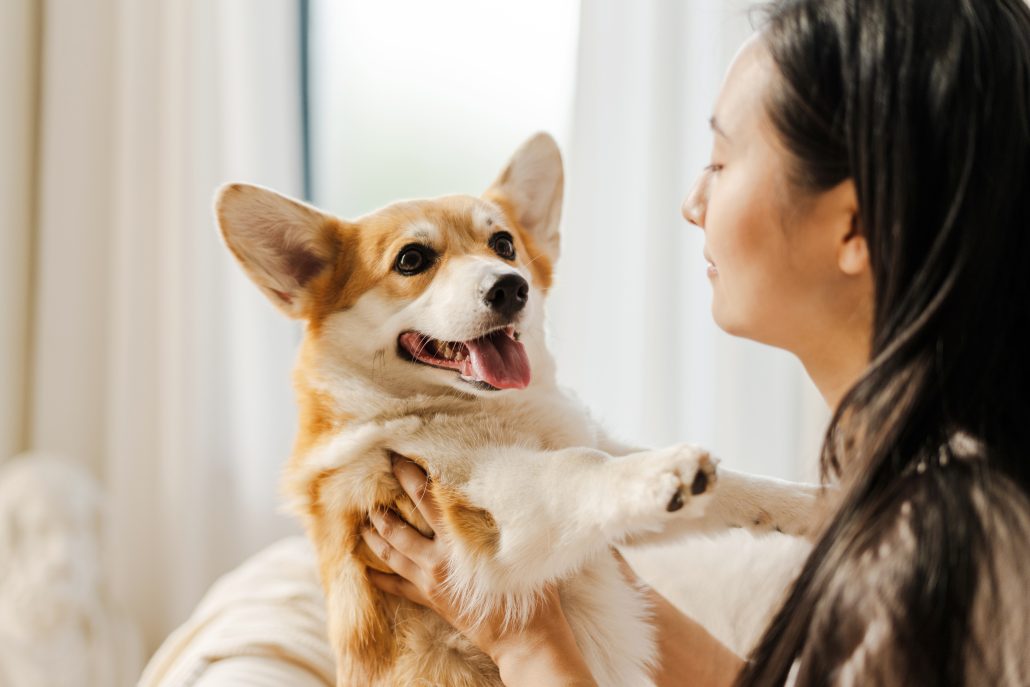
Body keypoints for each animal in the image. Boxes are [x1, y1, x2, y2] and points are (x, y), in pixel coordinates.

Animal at [217, 131, 819, 683]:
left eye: (504, 244)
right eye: (412, 259)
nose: (511, 288)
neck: (483, 408)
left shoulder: (606, 503)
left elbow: (737, 488)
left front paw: (814, 503)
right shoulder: (488, 522)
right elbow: (583, 469)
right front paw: (667, 471)